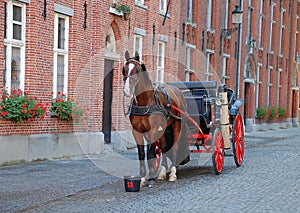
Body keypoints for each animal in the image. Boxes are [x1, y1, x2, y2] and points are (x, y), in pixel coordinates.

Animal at [122, 50, 188, 186]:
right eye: (124, 69)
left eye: (137, 70)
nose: (127, 90)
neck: (145, 102)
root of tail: (178, 91)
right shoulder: (137, 131)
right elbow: (142, 153)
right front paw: (142, 178)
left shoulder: (152, 130)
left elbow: (150, 152)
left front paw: (151, 178)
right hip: (163, 129)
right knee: (164, 147)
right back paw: (162, 173)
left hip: (177, 124)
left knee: (175, 146)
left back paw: (172, 173)